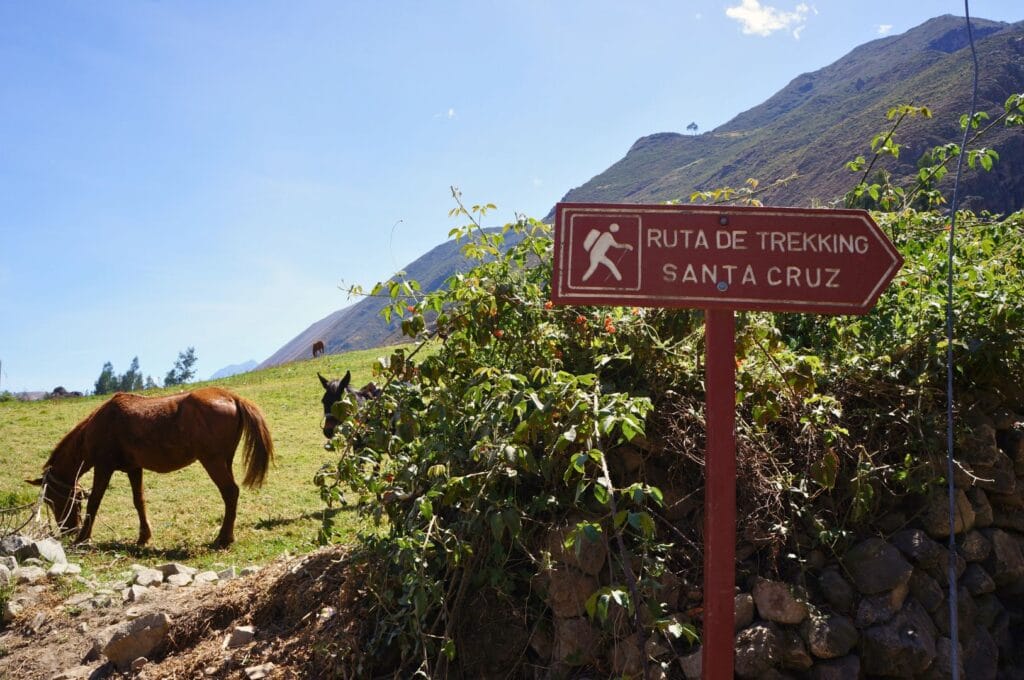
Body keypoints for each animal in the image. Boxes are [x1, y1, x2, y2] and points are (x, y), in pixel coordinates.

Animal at [28, 387, 274, 548]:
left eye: (52, 499)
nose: (68, 531)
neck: (102, 424)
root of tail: (231, 396)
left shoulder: (104, 467)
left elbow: (95, 501)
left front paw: (83, 538)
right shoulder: (134, 468)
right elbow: (139, 501)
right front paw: (143, 537)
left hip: (212, 461)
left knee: (230, 492)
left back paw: (224, 538)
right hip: (225, 460)